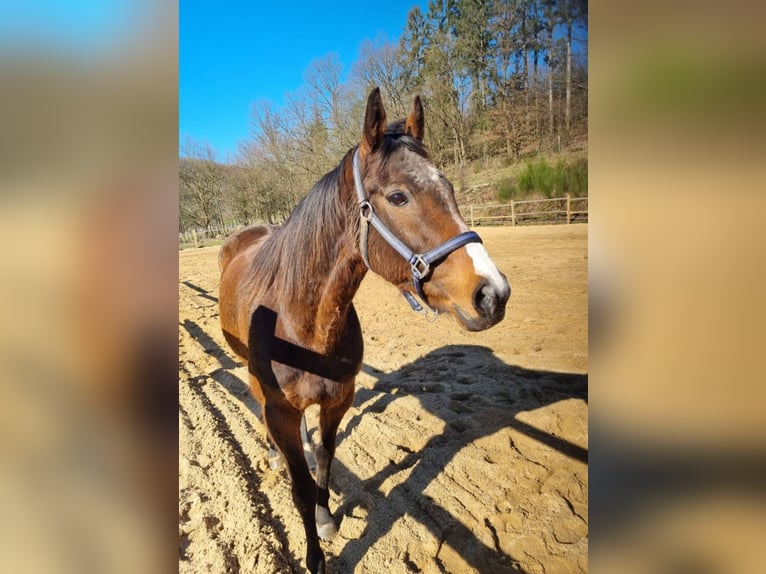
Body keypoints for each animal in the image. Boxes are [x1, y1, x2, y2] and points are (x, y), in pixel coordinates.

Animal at [219, 88, 512, 572]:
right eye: (398, 196)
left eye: (449, 188)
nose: (493, 293)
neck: (300, 325)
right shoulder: (281, 410)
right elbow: (300, 487)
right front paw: (315, 558)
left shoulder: (338, 400)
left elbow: (323, 462)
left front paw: (325, 520)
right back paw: (272, 454)